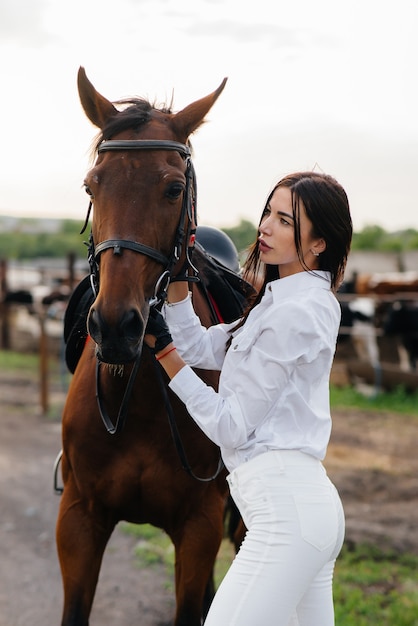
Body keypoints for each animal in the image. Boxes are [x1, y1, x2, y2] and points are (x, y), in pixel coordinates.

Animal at [55, 66, 251, 620]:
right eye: (92, 184)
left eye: (173, 188)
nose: (116, 326)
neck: (140, 395)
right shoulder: (78, 518)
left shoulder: (199, 525)